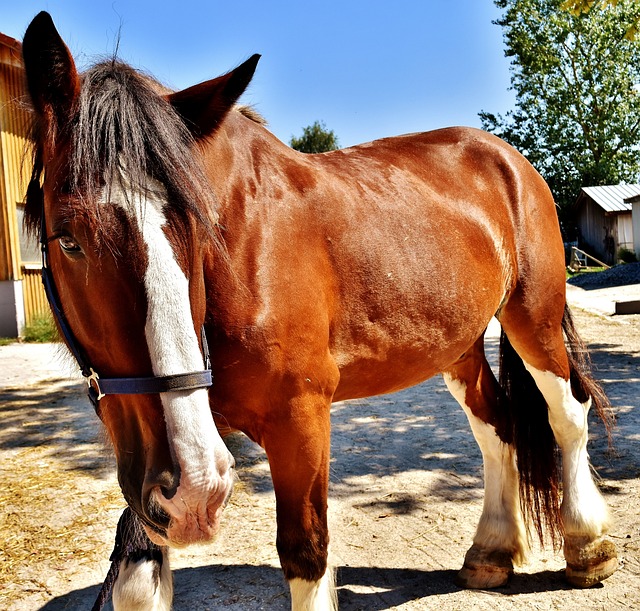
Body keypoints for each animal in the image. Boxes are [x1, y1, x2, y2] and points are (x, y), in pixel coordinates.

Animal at [22, 10, 616, 611]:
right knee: (496, 424)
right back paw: (491, 550)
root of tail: (508, 159)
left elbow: (307, 553)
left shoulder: (299, 420)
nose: (195, 488)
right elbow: (139, 576)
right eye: (68, 239)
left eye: (200, 227)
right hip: (458, 347)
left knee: (567, 415)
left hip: (533, 320)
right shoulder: (152, 464)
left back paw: (587, 546)